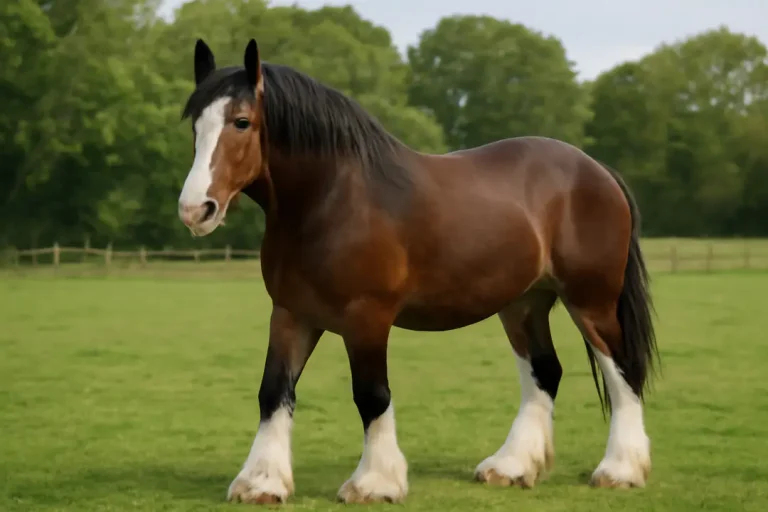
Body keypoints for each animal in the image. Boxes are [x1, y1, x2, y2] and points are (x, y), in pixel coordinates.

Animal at [177, 38, 659, 505]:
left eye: (241, 122)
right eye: (195, 125)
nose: (195, 209)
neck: (332, 198)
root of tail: (598, 170)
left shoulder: (367, 318)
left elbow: (371, 395)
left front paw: (375, 483)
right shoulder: (291, 314)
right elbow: (273, 391)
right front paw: (261, 482)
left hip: (591, 301)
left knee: (622, 371)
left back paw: (620, 470)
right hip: (523, 303)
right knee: (545, 371)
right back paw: (512, 467)